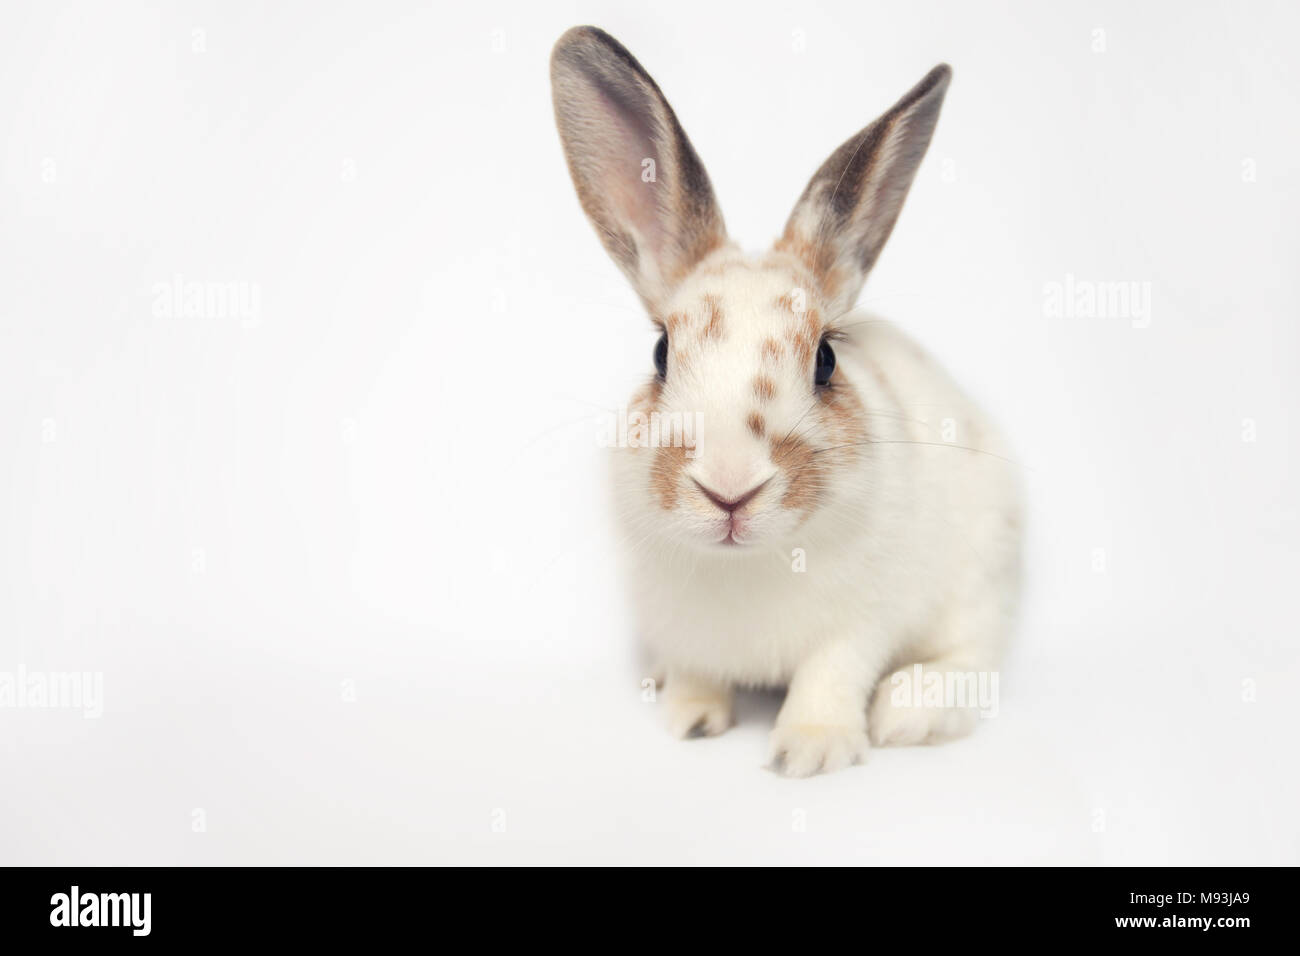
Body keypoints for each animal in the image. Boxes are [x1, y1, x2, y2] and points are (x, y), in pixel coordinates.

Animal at [551, 26, 1022, 776]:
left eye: (826, 359)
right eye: (660, 354)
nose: (730, 489)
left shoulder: (859, 626)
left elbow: (830, 678)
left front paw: (809, 752)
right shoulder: (677, 627)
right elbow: (696, 672)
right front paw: (691, 721)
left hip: (982, 581)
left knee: (971, 661)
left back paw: (910, 713)